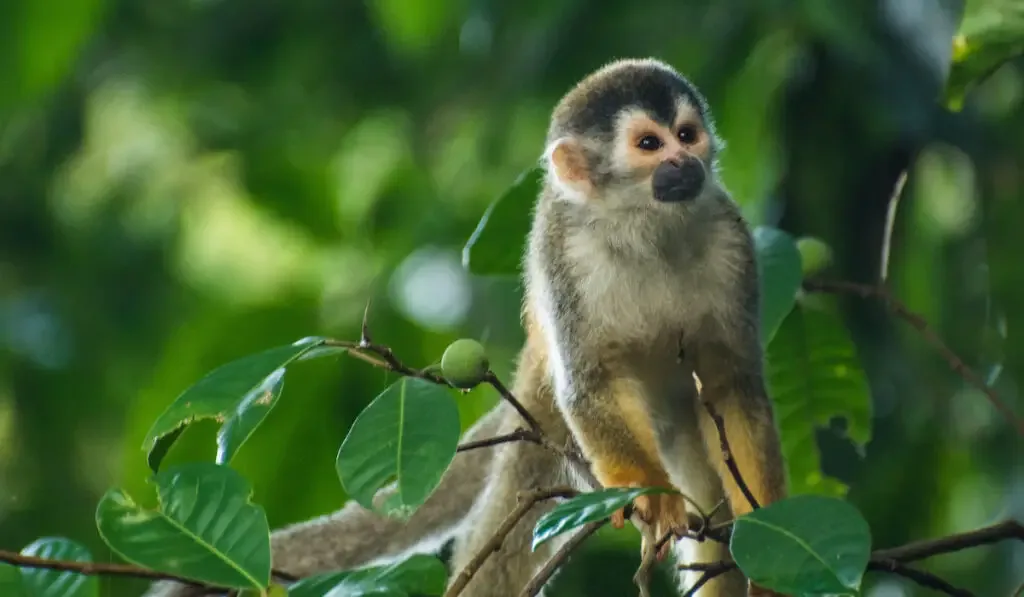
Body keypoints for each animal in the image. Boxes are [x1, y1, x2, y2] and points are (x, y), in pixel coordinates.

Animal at [146, 58, 782, 597]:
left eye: (687, 133)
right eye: (649, 144)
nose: (685, 162)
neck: (645, 228)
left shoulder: (731, 237)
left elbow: (733, 383)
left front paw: (763, 523)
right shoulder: (563, 254)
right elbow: (591, 383)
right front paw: (652, 498)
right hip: (546, 424)